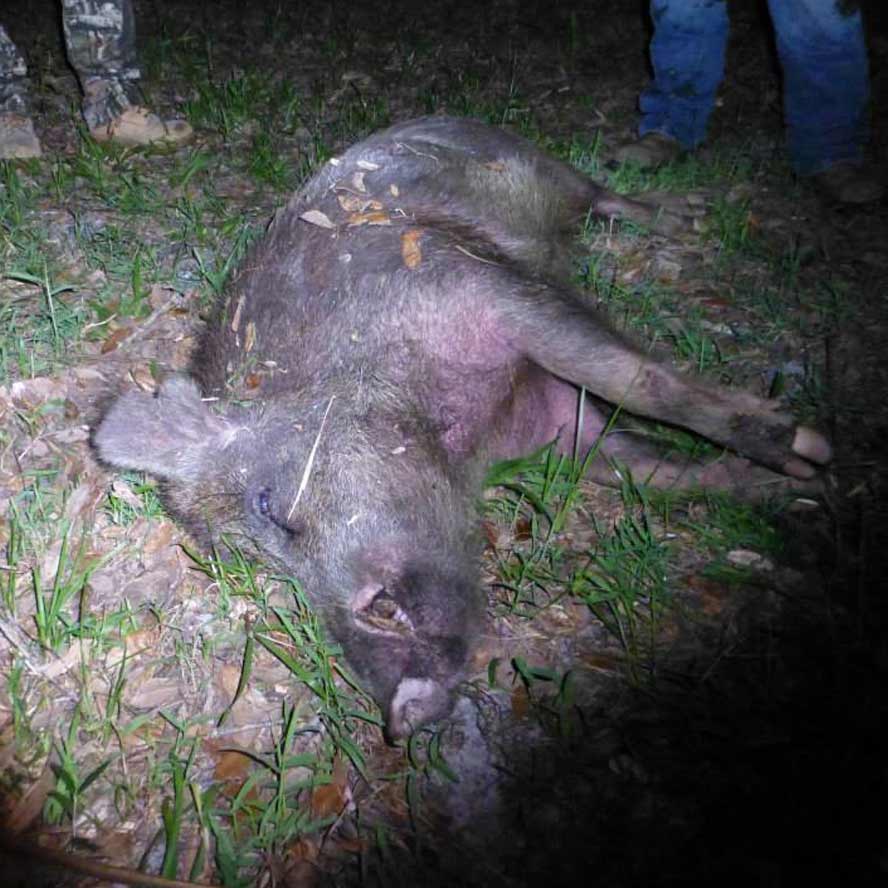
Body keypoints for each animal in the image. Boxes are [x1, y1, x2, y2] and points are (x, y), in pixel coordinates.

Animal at [93, 116, 831, 740]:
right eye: (271, 575)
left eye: (270, 506)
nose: (401, 716)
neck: (463, 432)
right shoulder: (559, 430)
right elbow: (659, 472)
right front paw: (805, 494)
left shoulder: (488, 288)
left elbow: (641, 383)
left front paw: (808, 449)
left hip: (547, 174)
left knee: (606, 194)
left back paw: (682, 213)